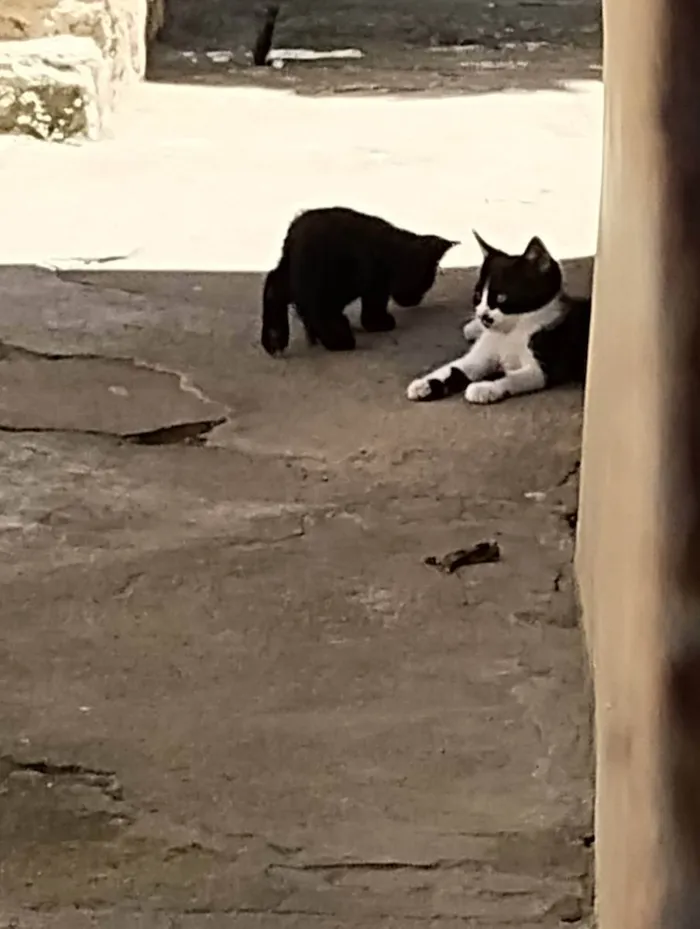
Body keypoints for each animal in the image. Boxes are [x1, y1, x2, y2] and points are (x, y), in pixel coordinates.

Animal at [260, 207, 456, 356]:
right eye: (425, 283)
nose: (417, 300)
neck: (393, 253)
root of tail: (294, 231)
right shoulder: (375, 287)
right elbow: (371, 310)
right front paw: (379, 324)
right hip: (316, 280)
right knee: (316, 311)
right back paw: (339, 339)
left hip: (291, 275)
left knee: (274, 287)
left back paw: (274, 338)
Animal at [404, 230, 592, 404]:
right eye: (478, 296)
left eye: (502, 297)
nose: (483, 315)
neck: (510, 332)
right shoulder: (482, 353)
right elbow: (456, 367)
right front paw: (424, 383)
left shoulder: (544, 366)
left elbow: (513, 377)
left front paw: (484, 388)